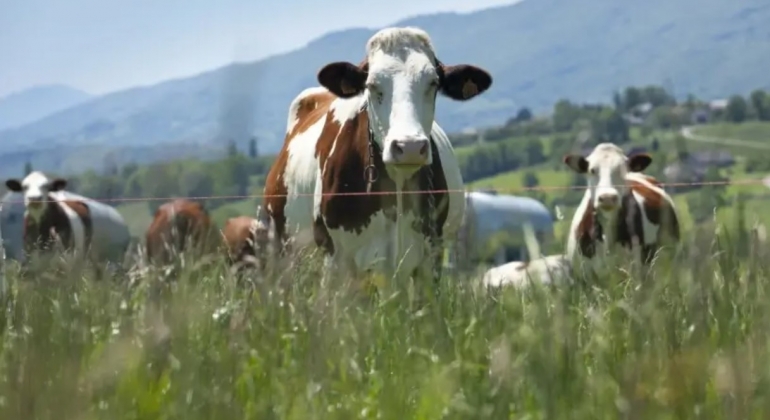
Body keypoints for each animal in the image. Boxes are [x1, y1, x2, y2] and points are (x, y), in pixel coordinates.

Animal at [262, 26, 492, 286]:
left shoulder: (429, 254)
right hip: (284, 252)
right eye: (372, 85)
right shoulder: (335, 257)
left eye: (433, 83)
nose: (409, 146)